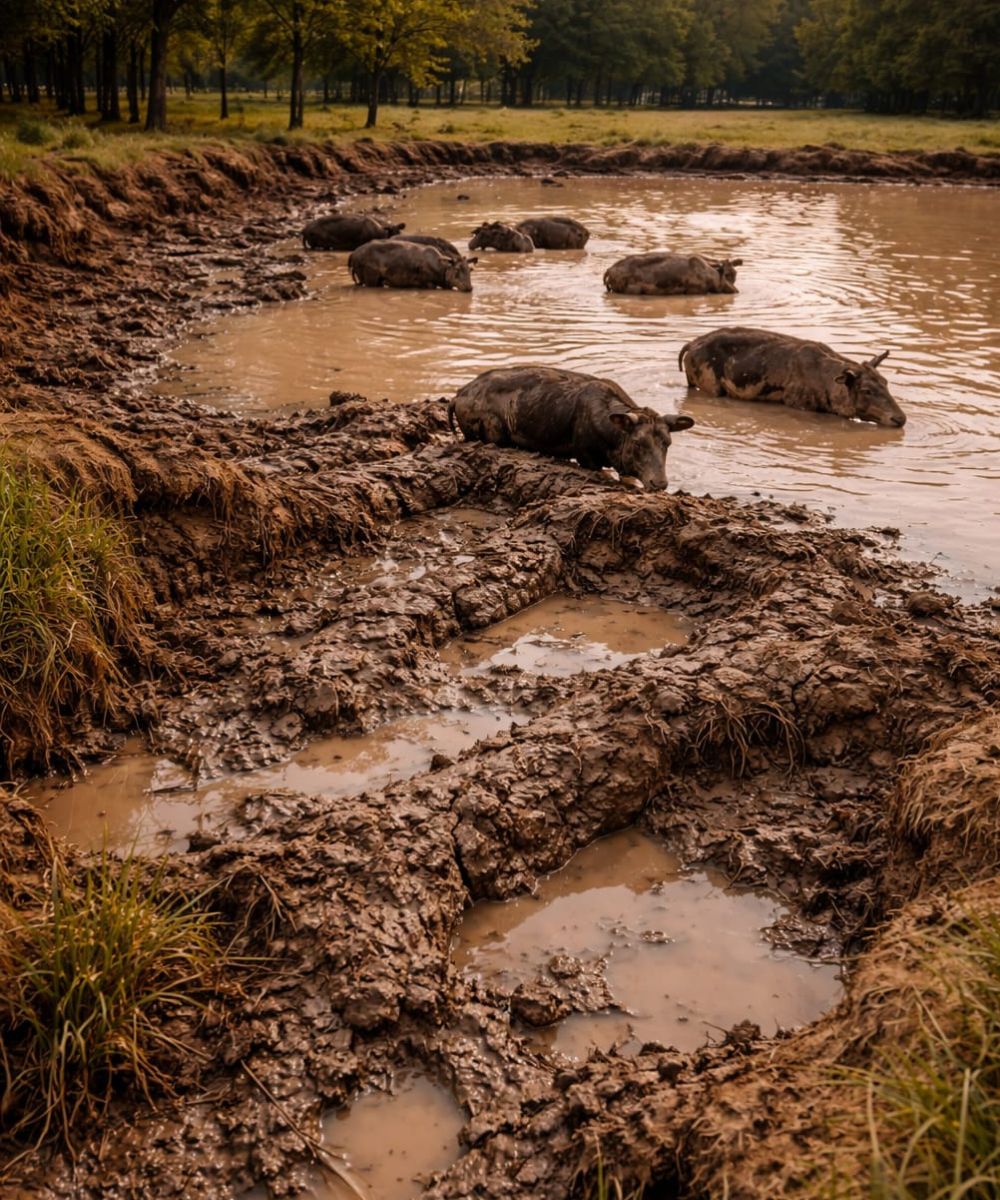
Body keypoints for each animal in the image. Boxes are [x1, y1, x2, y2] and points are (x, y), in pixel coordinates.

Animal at [448, 366, 694, 490]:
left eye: (668, 443)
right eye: (638, 443)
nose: (660, 483)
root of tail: (458, 395)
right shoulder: (586, 457)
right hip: (491, 434)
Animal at [678, 327, 906, 427]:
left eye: (886, 383)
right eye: (866, 390)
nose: (900, 418)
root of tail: (690, 345)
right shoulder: (798, 404)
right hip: (711, 387)